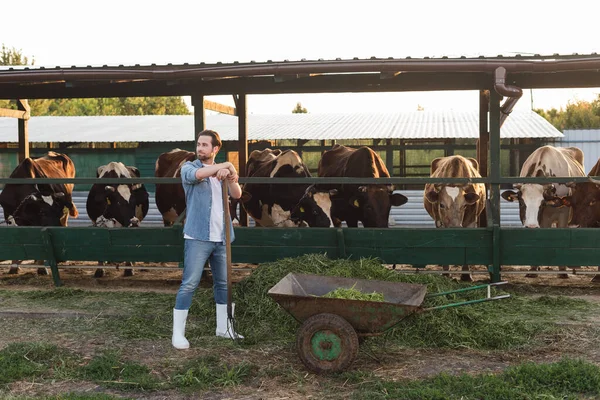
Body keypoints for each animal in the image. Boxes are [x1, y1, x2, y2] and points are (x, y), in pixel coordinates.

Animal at [422, 154, 488, 282]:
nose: (455, 227)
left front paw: (466, 274)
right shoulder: (439, 222)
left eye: (464, 205)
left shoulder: (470, 221)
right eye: (441, 205)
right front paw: (446, 272)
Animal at [500, 146, 584, 278]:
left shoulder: (563, 215)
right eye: (521, 203)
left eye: (542, 204)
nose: (531, 226)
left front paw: (562, 271)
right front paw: (533, 268)